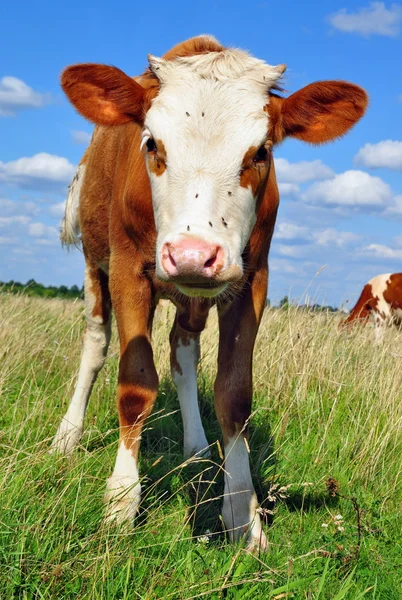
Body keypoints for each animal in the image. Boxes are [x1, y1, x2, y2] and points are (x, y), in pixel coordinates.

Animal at [53, 32, 368, 548]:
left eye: (261, 152)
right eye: (151, 143)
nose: (191, 254)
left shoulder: (251, 280)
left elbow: (234, 393)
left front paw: (243, 512)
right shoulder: (126, 269)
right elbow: (135, 383)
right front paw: (121, 501)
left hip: (194, 299)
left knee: (182, 353)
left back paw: (197, 448)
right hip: (95, 265)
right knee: (96, 345)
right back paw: (68, 435)